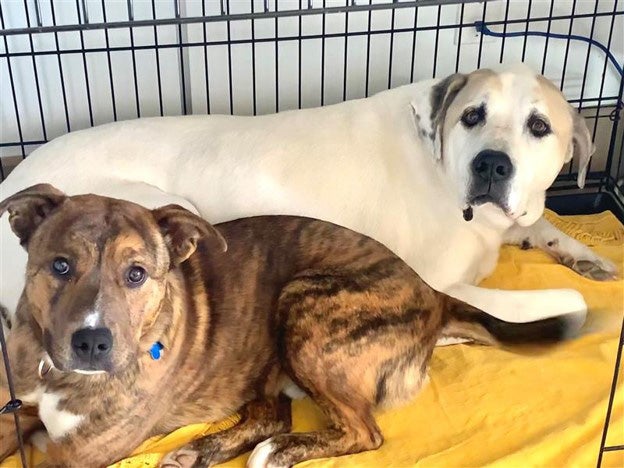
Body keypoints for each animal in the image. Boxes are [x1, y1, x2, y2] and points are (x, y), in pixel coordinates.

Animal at [0, 63, 616, 332]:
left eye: (539, 127)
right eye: (472, 116)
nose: (491, 164)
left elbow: (541, 221)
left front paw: (584, 255)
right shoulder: (440, 282)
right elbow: (568, 301)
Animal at [0, 185, 584, 466]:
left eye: (137, 274)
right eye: (59, 266)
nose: (92, 342)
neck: (55, 372)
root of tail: (430, 292)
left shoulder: (79, 454)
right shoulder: (17, 408)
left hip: (304, 310)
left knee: (362, 432)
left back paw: (276, 454)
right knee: (272, 415)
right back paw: (199, 452)